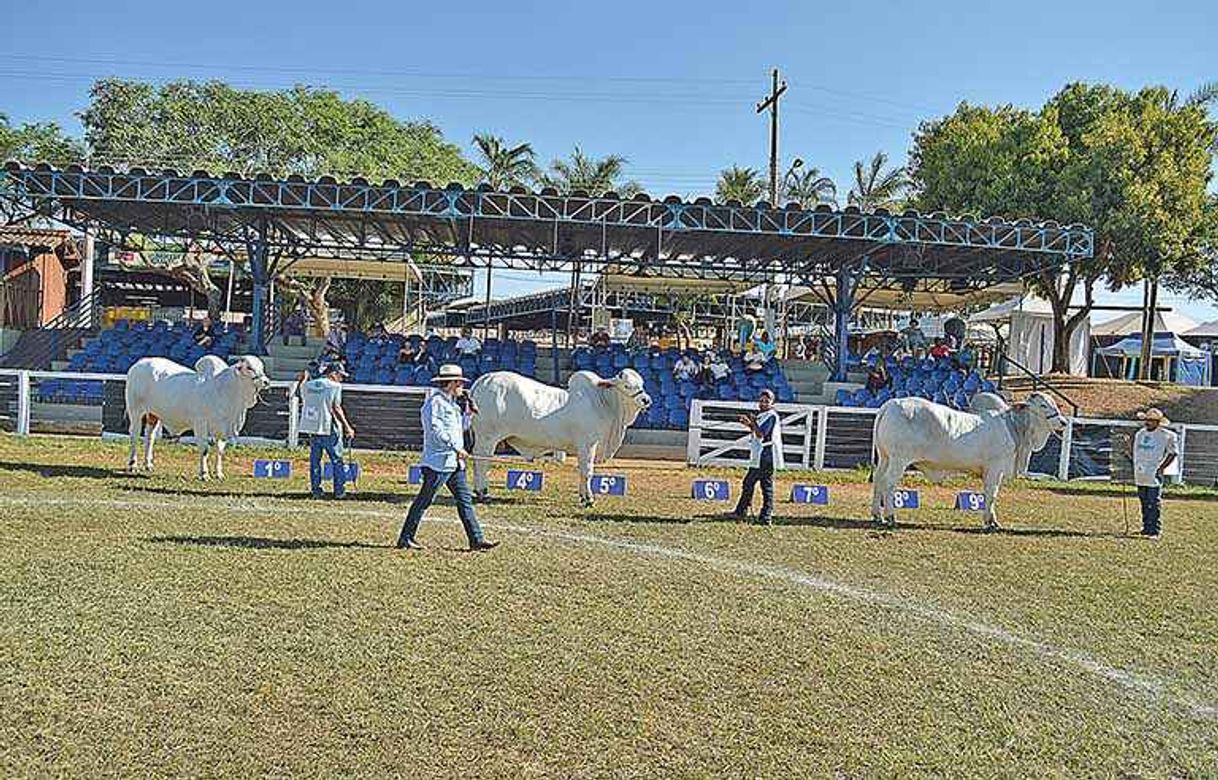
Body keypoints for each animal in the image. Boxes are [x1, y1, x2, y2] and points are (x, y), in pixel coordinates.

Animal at [125, 355, 271, 477]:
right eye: (249, 367)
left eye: (261, 367)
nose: (266, 382)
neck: (223, 390)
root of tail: (139, 364)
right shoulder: (201, 424)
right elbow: (204, 449)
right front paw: (204, 474)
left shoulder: (221, 429)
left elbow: (220, 450)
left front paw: (219, 474)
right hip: (136, 411)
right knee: (134, 436)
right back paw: (133, 465)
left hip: (153, 415)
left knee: (150, 437)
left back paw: (148, 464)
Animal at [467, 370, 657, 509]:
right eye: (627, 385)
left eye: (641, 384)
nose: (646, 400)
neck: (602, 402)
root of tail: (483, 380)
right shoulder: (588, 444)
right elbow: (587, 471)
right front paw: (589, 499)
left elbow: (581, 471)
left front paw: (583, 497)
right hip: (487, 437)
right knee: (481, 461)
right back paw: (483, 492)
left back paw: (478, 491)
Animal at [872, 390, 1062, 531]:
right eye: (1043, 405)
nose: (1063, 421)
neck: (1014, 427)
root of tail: (891, 404)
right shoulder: (995, 467)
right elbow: (992, 493)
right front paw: (991, 523)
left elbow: (989, 494)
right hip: (899, 460)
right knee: (888, 483)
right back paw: (890, 517)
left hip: (885, 458)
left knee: (878, 480)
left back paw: (877, 515)